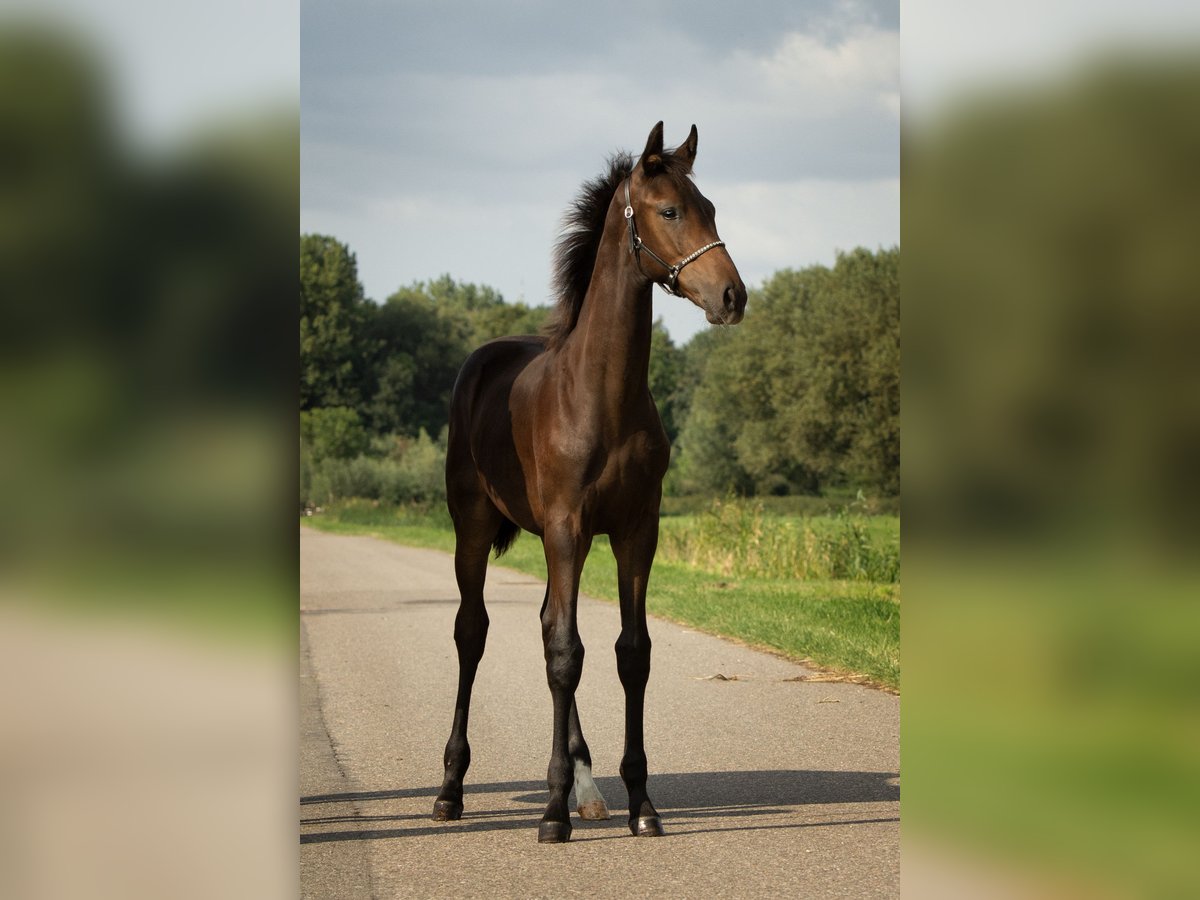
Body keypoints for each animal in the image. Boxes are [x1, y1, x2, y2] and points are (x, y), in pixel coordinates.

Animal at [432, 123, 744, 844]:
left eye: (710, 207)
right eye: (669, 211)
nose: (732, 297)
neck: (602, 396)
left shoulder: (635, 531)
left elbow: (629, 653)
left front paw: (640, 804)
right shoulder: (568, 526)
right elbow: (565, 654)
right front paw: (550, 812)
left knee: (548, 621)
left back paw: (587, 785)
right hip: (475, 526)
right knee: (474, 632)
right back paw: (452, 789)